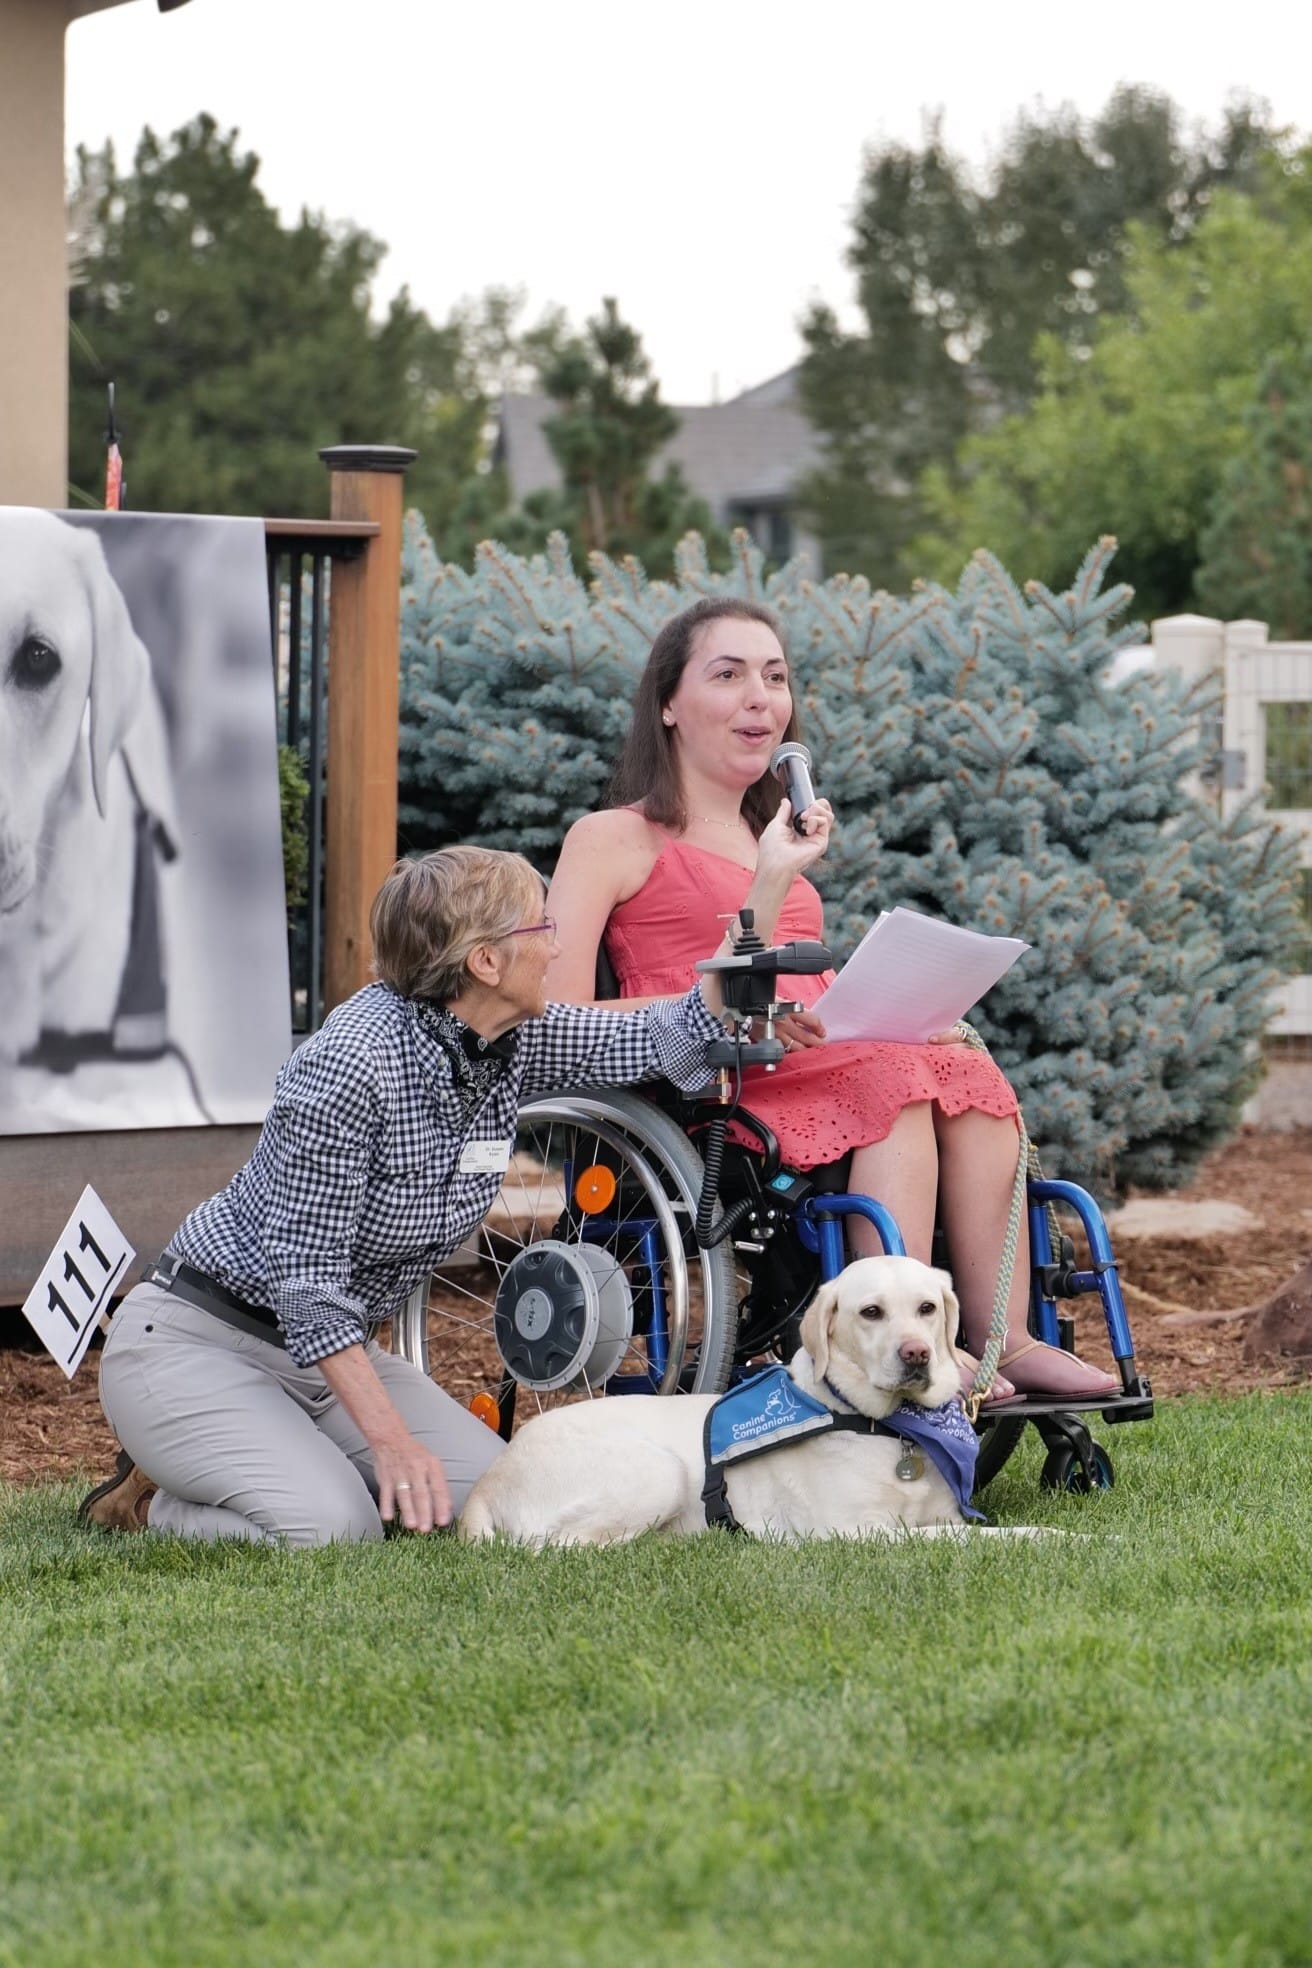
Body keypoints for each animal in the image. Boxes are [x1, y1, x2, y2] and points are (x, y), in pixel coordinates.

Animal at [462, 1251, 1014, 1542]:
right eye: (871, 1312)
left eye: (927, 1308)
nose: (917, 1354)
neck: (889, 1425)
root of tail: (487, 1481)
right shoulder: (859, 1532)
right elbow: (976, 1538)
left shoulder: (936, 1515)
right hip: (658, 1471)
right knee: (558, 1546)